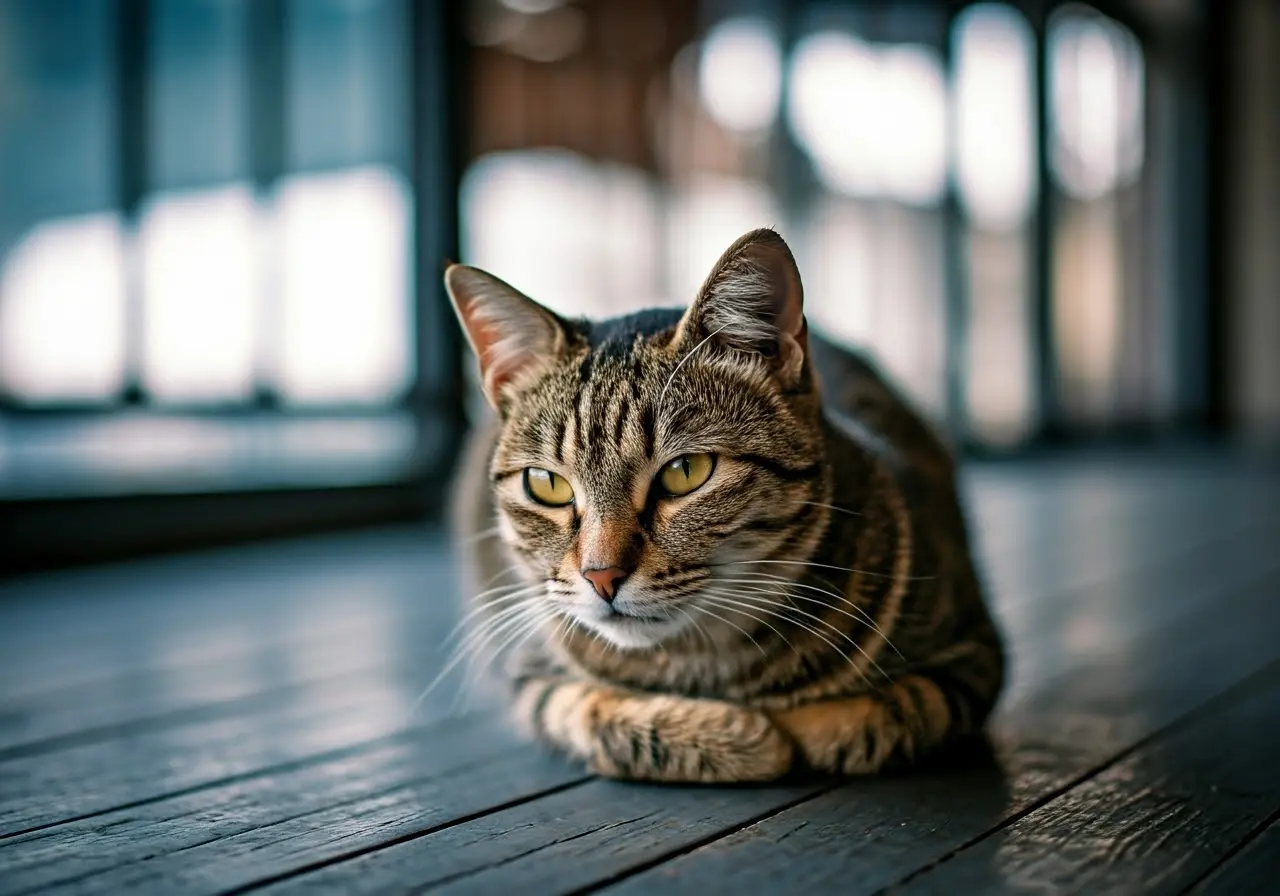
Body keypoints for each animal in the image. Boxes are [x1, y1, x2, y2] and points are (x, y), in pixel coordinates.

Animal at [445, 227, 1003, 778]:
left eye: (685, 472)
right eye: (546, 484)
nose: (600, 577)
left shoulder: (973, 650)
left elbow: (892, 712)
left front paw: (801, 728)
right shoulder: (531, 674)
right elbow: (588, 711)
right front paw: (740, 737)